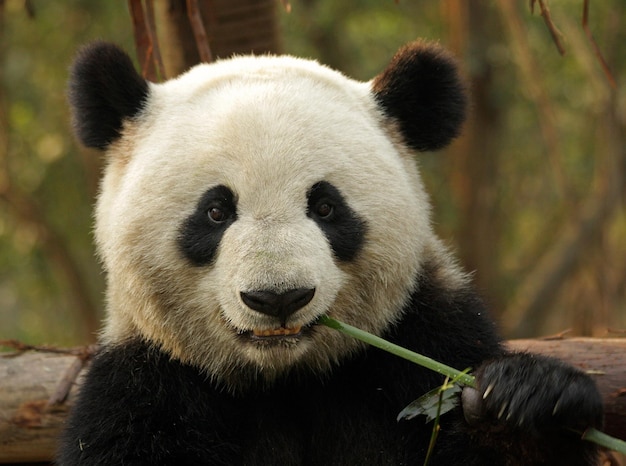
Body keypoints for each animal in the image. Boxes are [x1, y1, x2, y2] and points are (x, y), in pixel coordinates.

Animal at [58, 41, 600, 466]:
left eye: (324, 206)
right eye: (215, 211)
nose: (278, 298)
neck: (285, 380)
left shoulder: (423, 341)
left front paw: (526, 401)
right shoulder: (146, 386)